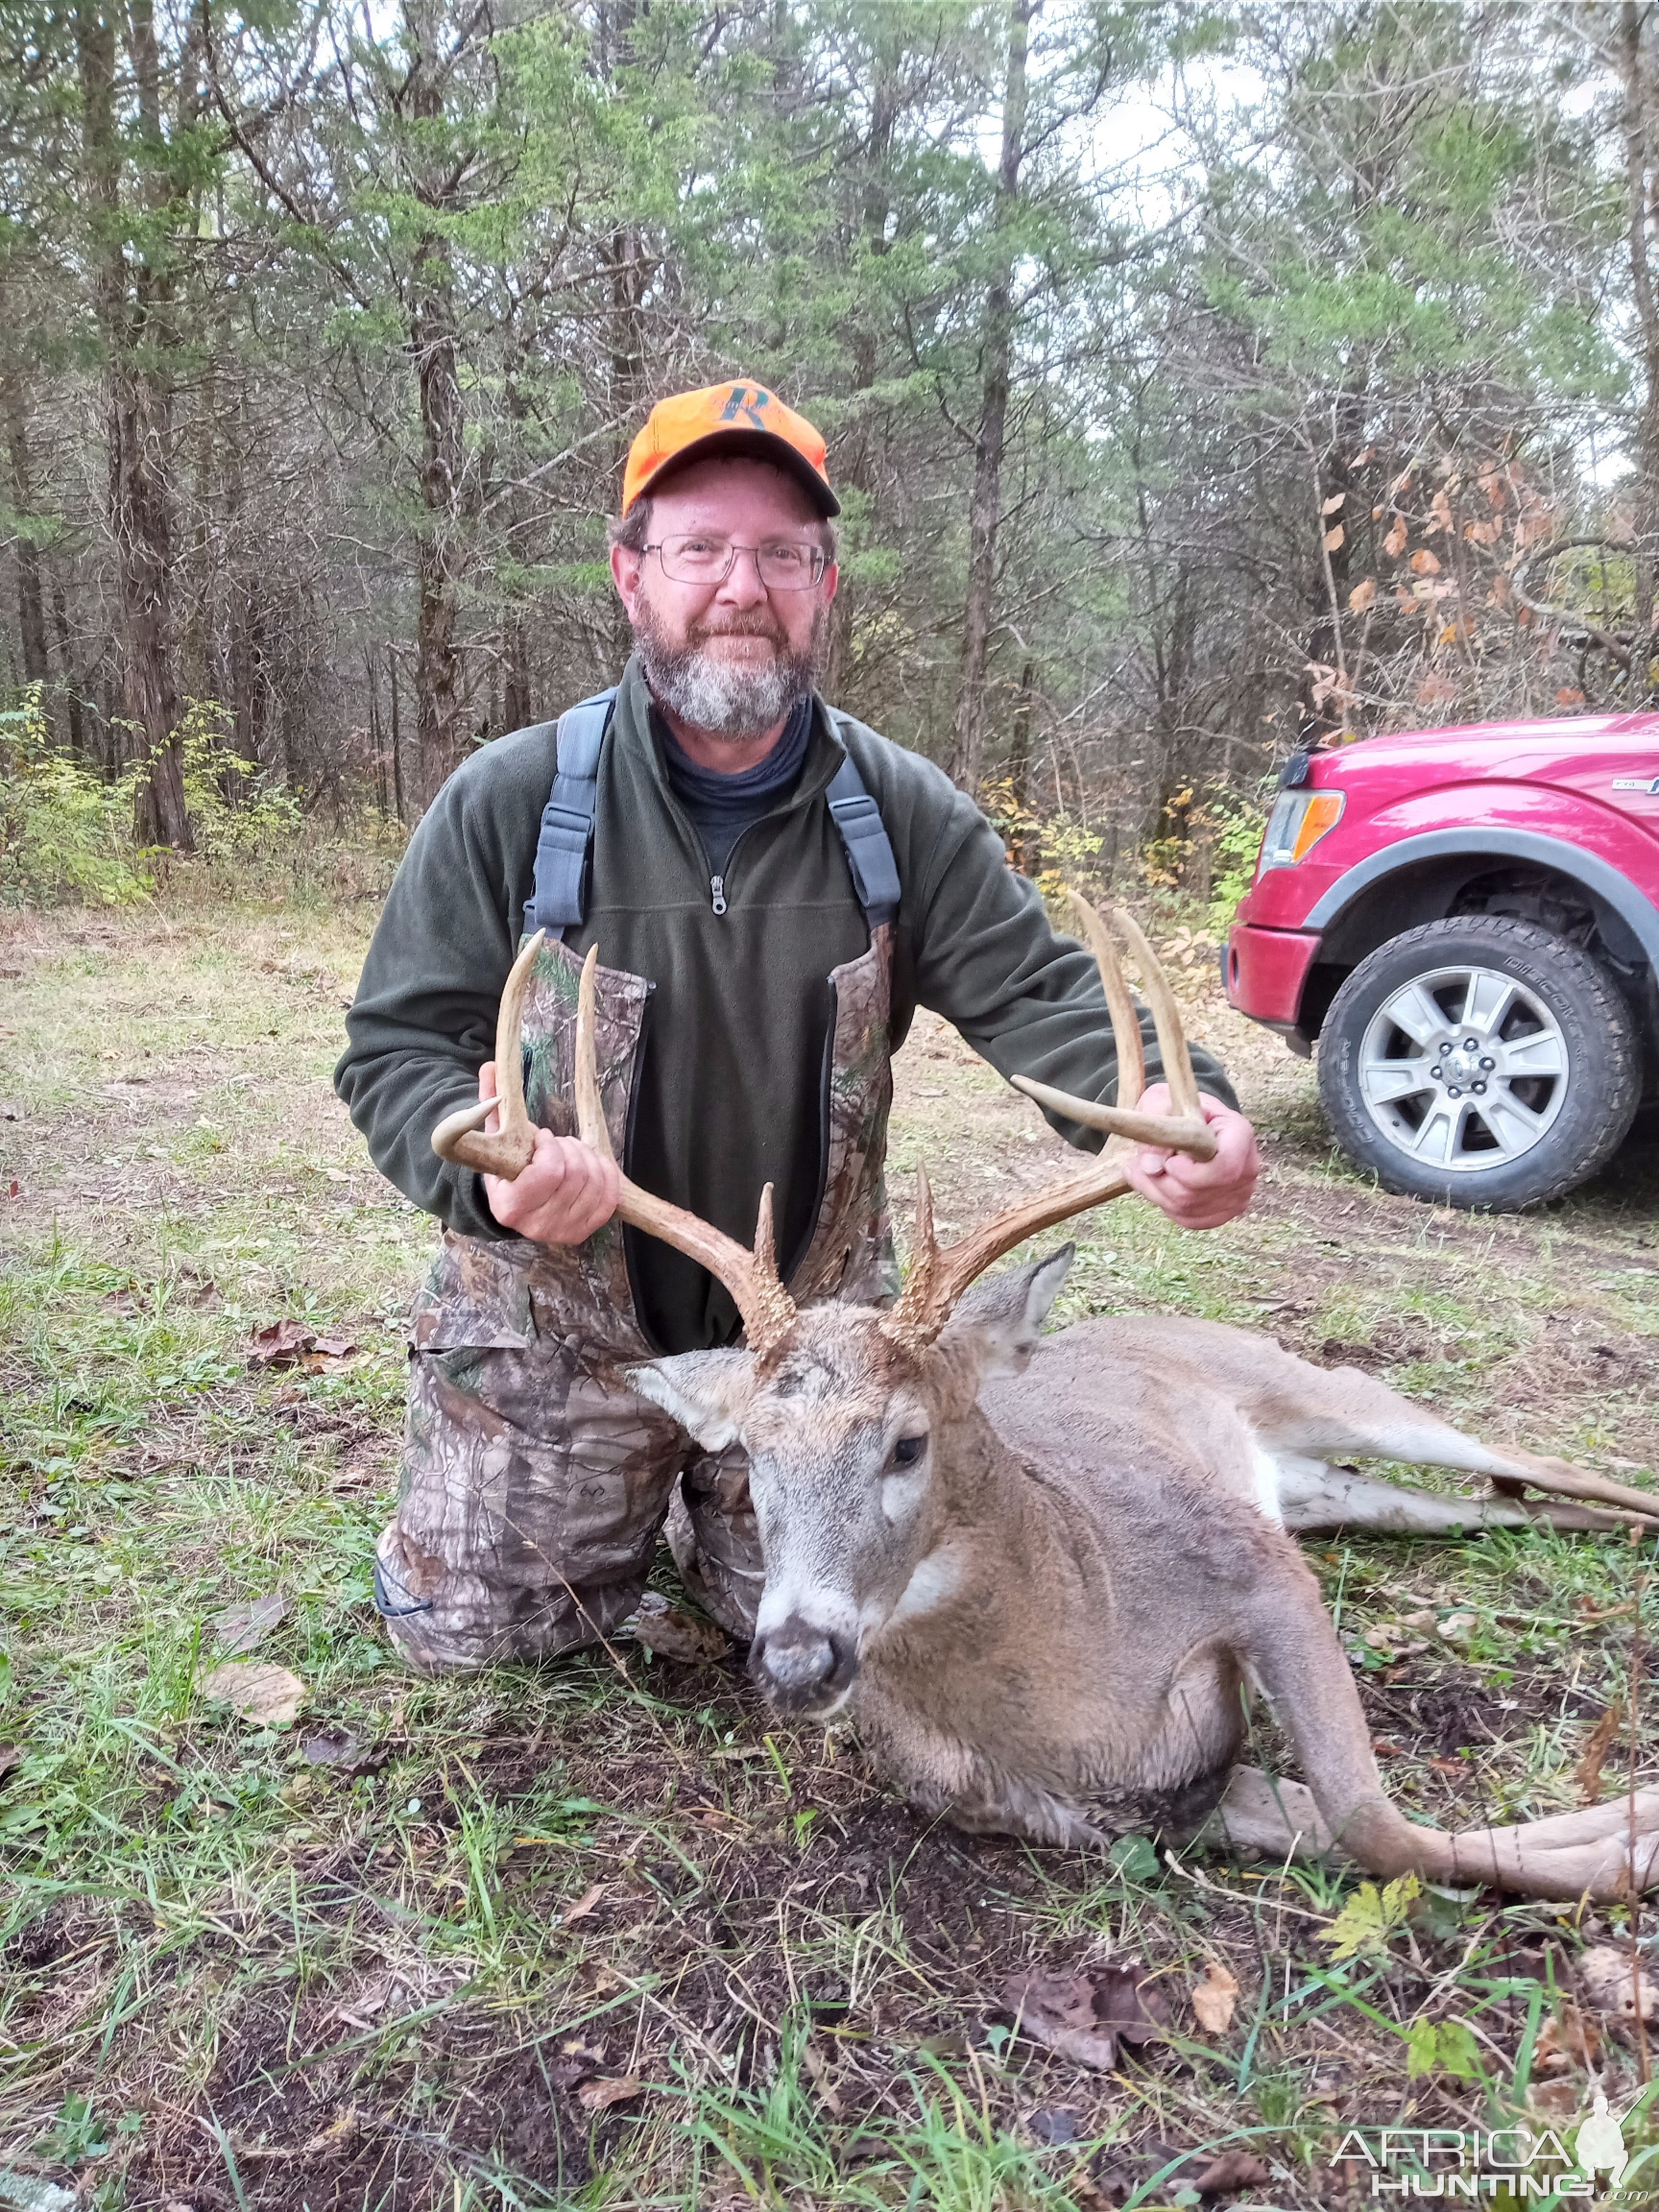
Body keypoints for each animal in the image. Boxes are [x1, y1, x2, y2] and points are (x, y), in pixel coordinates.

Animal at [442, 898, 1659, 1902]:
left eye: (908, 1444)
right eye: (750, 1453)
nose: (796, 1660)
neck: (1082, 1679)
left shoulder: (1258, 1567)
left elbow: (1378, 1826)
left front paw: (1634, 1830)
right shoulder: (1139, 1803)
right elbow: (1352, 1830)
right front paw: (1626, 1831)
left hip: (1324, 1388)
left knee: (1551, 1465)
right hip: (1341, 1492)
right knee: (1486, 1504)